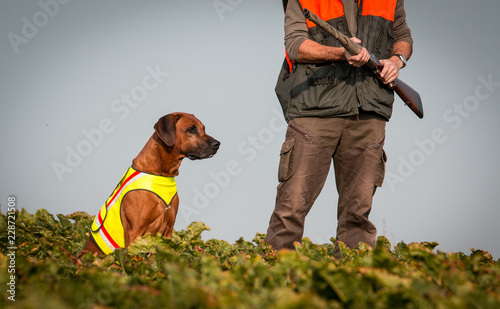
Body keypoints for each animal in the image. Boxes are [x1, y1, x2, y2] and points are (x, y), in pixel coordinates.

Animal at [79, 112, 220, 256]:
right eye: (191, 129)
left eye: (204, 128)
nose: (217, 144)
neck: (161, 174)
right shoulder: (134, 231)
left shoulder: (168, 231)